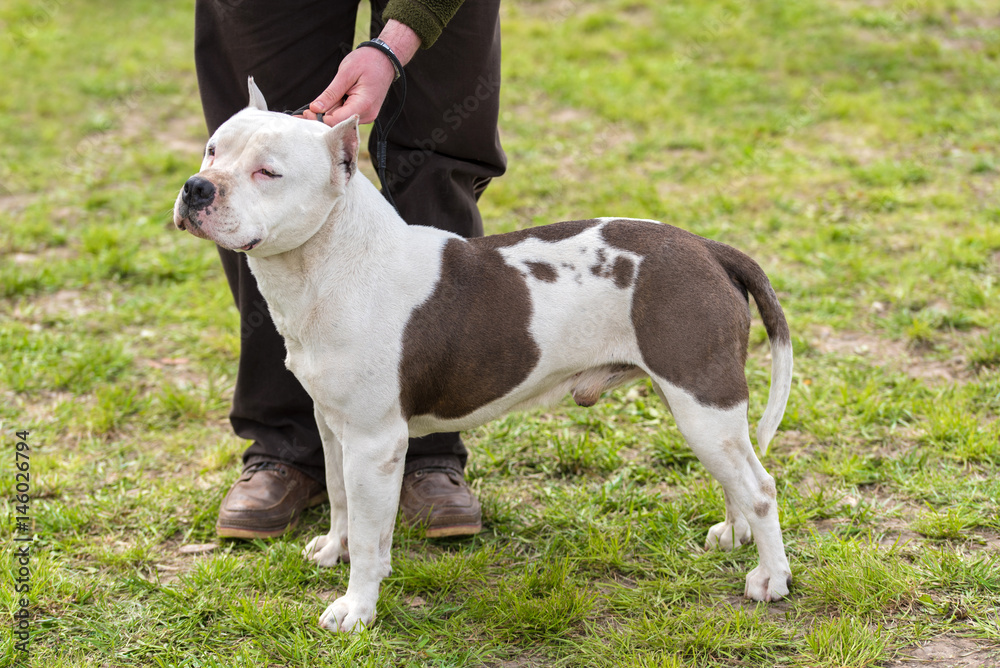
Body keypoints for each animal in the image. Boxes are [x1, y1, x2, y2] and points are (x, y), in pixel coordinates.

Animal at [174, 78, 796, 632]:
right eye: (213, 148)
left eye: (268, 172)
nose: (196, 188)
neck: (329, 264)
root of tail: (709, 248)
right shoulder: (332, 426)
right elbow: (339, 495)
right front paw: (333, 550)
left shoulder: (376, 442)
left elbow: (374, 535)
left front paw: (355, 609)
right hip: (701, 408)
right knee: (736, 474)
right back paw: (733, 533)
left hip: (701, 401)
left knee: (762, 488)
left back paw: (771, 578)